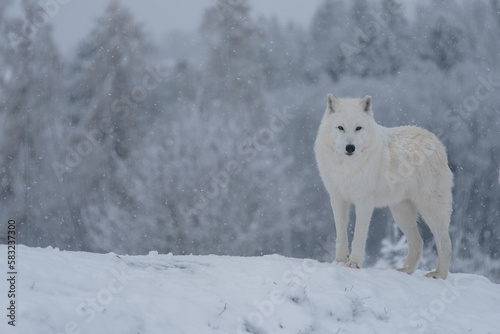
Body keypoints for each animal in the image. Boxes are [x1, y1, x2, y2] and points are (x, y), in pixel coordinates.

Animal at [316, 94, 454, 280]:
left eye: (358, 128)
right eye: (340, 127)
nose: (350, 148)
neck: (348, 166)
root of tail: (437, 142)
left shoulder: (364, 202)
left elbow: (359, 235)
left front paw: (354, 264)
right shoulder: (338, 199)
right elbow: (341, 234)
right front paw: (339, 261)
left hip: (430, 210)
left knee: (445, 243)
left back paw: (439, 275)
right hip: (401, 213)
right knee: (418, 242)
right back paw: (405, 271)